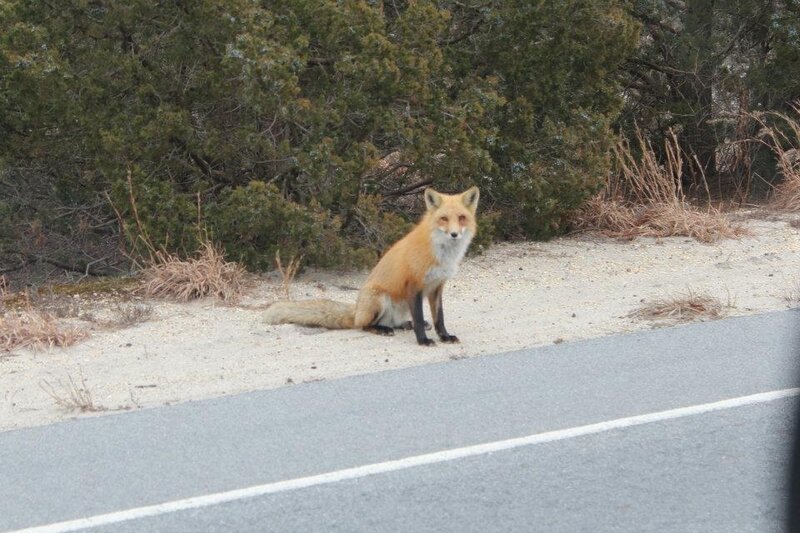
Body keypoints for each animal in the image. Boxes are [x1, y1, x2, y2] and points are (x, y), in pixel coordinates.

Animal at [263, 186, 479, 346]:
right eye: (444, 219)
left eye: (461, 218)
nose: (454, 234)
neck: (441, 253)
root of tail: (356, 311)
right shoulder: (414, 285)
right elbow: (419, 318)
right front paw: (423, 341)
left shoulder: (437, 287)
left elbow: (439, 318)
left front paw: (445, 336)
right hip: (379, 299)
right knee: (364, 325)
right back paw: (382, 329)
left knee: (396, 322)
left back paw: (401, 325)